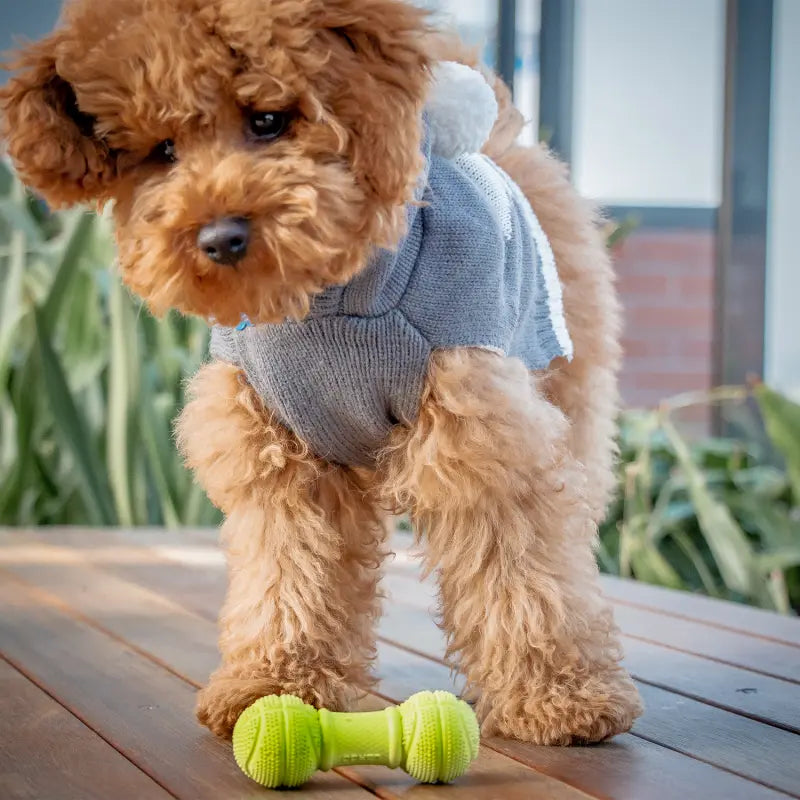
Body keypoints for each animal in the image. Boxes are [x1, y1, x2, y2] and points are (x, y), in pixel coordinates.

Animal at [1, 0, 644, 748]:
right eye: (161, 152)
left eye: (267, 120)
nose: (219, 237)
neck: (330, 300)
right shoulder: (280, 456)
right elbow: (289, 571)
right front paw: (274, 684)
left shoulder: (480, 438)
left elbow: (518, 565)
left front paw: (559, 697)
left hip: (569, 384)